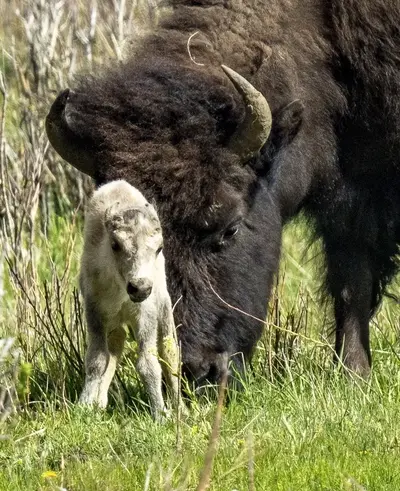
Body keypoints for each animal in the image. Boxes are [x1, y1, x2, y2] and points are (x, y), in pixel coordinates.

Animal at [45, 0, 398, 386]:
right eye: (117, 243)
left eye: (231, 228)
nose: (197, 370)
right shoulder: (348, 200)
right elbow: (350, 279)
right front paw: (353, 373)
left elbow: (354, 280)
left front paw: (353, 374)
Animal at [79, 181, 181, 418]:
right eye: (115, 244)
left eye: (159, 248)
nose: (140, 287)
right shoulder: (95, 311)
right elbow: (98, 359)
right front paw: (85, 404)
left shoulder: (146, 314)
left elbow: (148, 363)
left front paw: (161, 413)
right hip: (115, 321)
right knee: (116, 344)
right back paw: (100, 401)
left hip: (164, 309)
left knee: (170, 353)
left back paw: (181, 408)